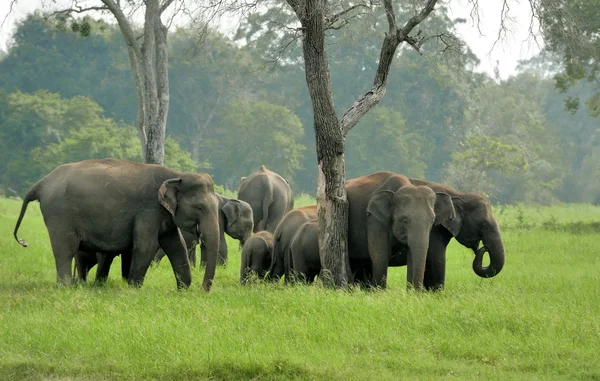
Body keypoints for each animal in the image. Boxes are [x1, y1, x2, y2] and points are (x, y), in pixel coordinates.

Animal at [13, 159, 220, 290]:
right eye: (200, 207)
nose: (202, 290)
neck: (176, 174)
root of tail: (41, 183)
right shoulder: (148, 209)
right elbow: (146, 245)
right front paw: (133, 289)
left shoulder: (164, 214)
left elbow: (176, 245)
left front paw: (183, 290)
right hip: (59, 213)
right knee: (66, 248)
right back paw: (66, 287)